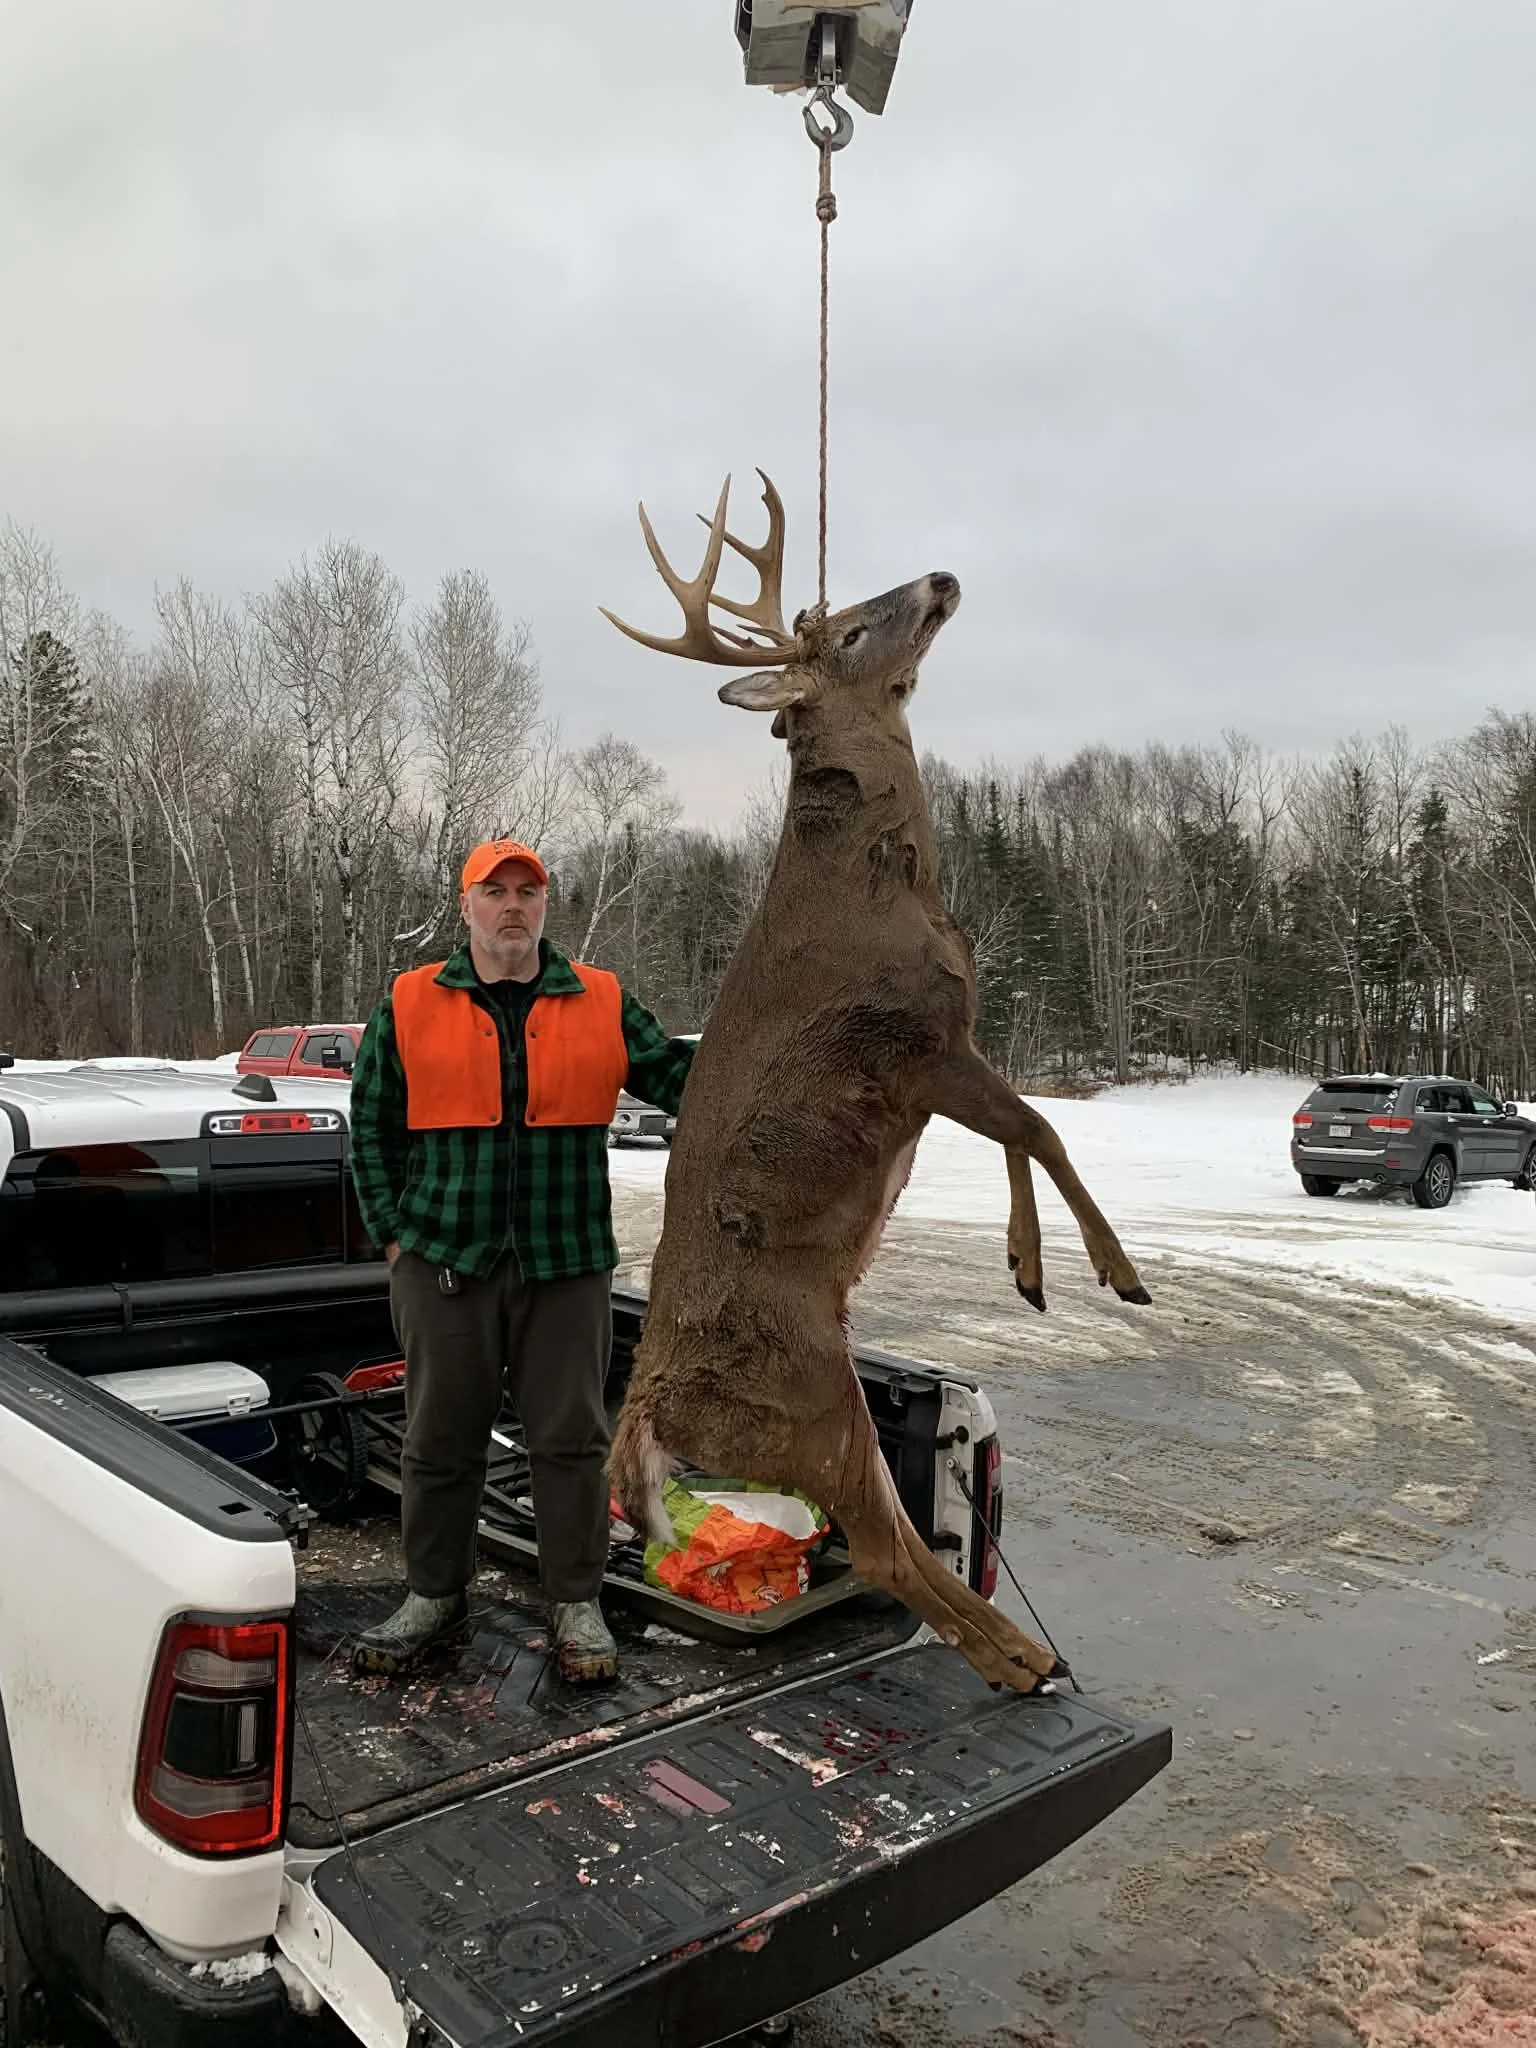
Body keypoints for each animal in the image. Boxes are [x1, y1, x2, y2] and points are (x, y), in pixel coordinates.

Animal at [600, 474, 1151, 1693]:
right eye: (852, 630)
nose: (941, 577)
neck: (890, 884)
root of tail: (643, 1419)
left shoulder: (946, 1052)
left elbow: (1022, 1134)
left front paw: (1028, 1271)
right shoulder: (913, 1039)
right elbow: (1042, 1128)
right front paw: (1116, 1272)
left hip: (825, 1407)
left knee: (891, 1535)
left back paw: (1016, 1649)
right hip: (811, 1403)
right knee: (886, 1546)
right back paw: (1020, 1658)